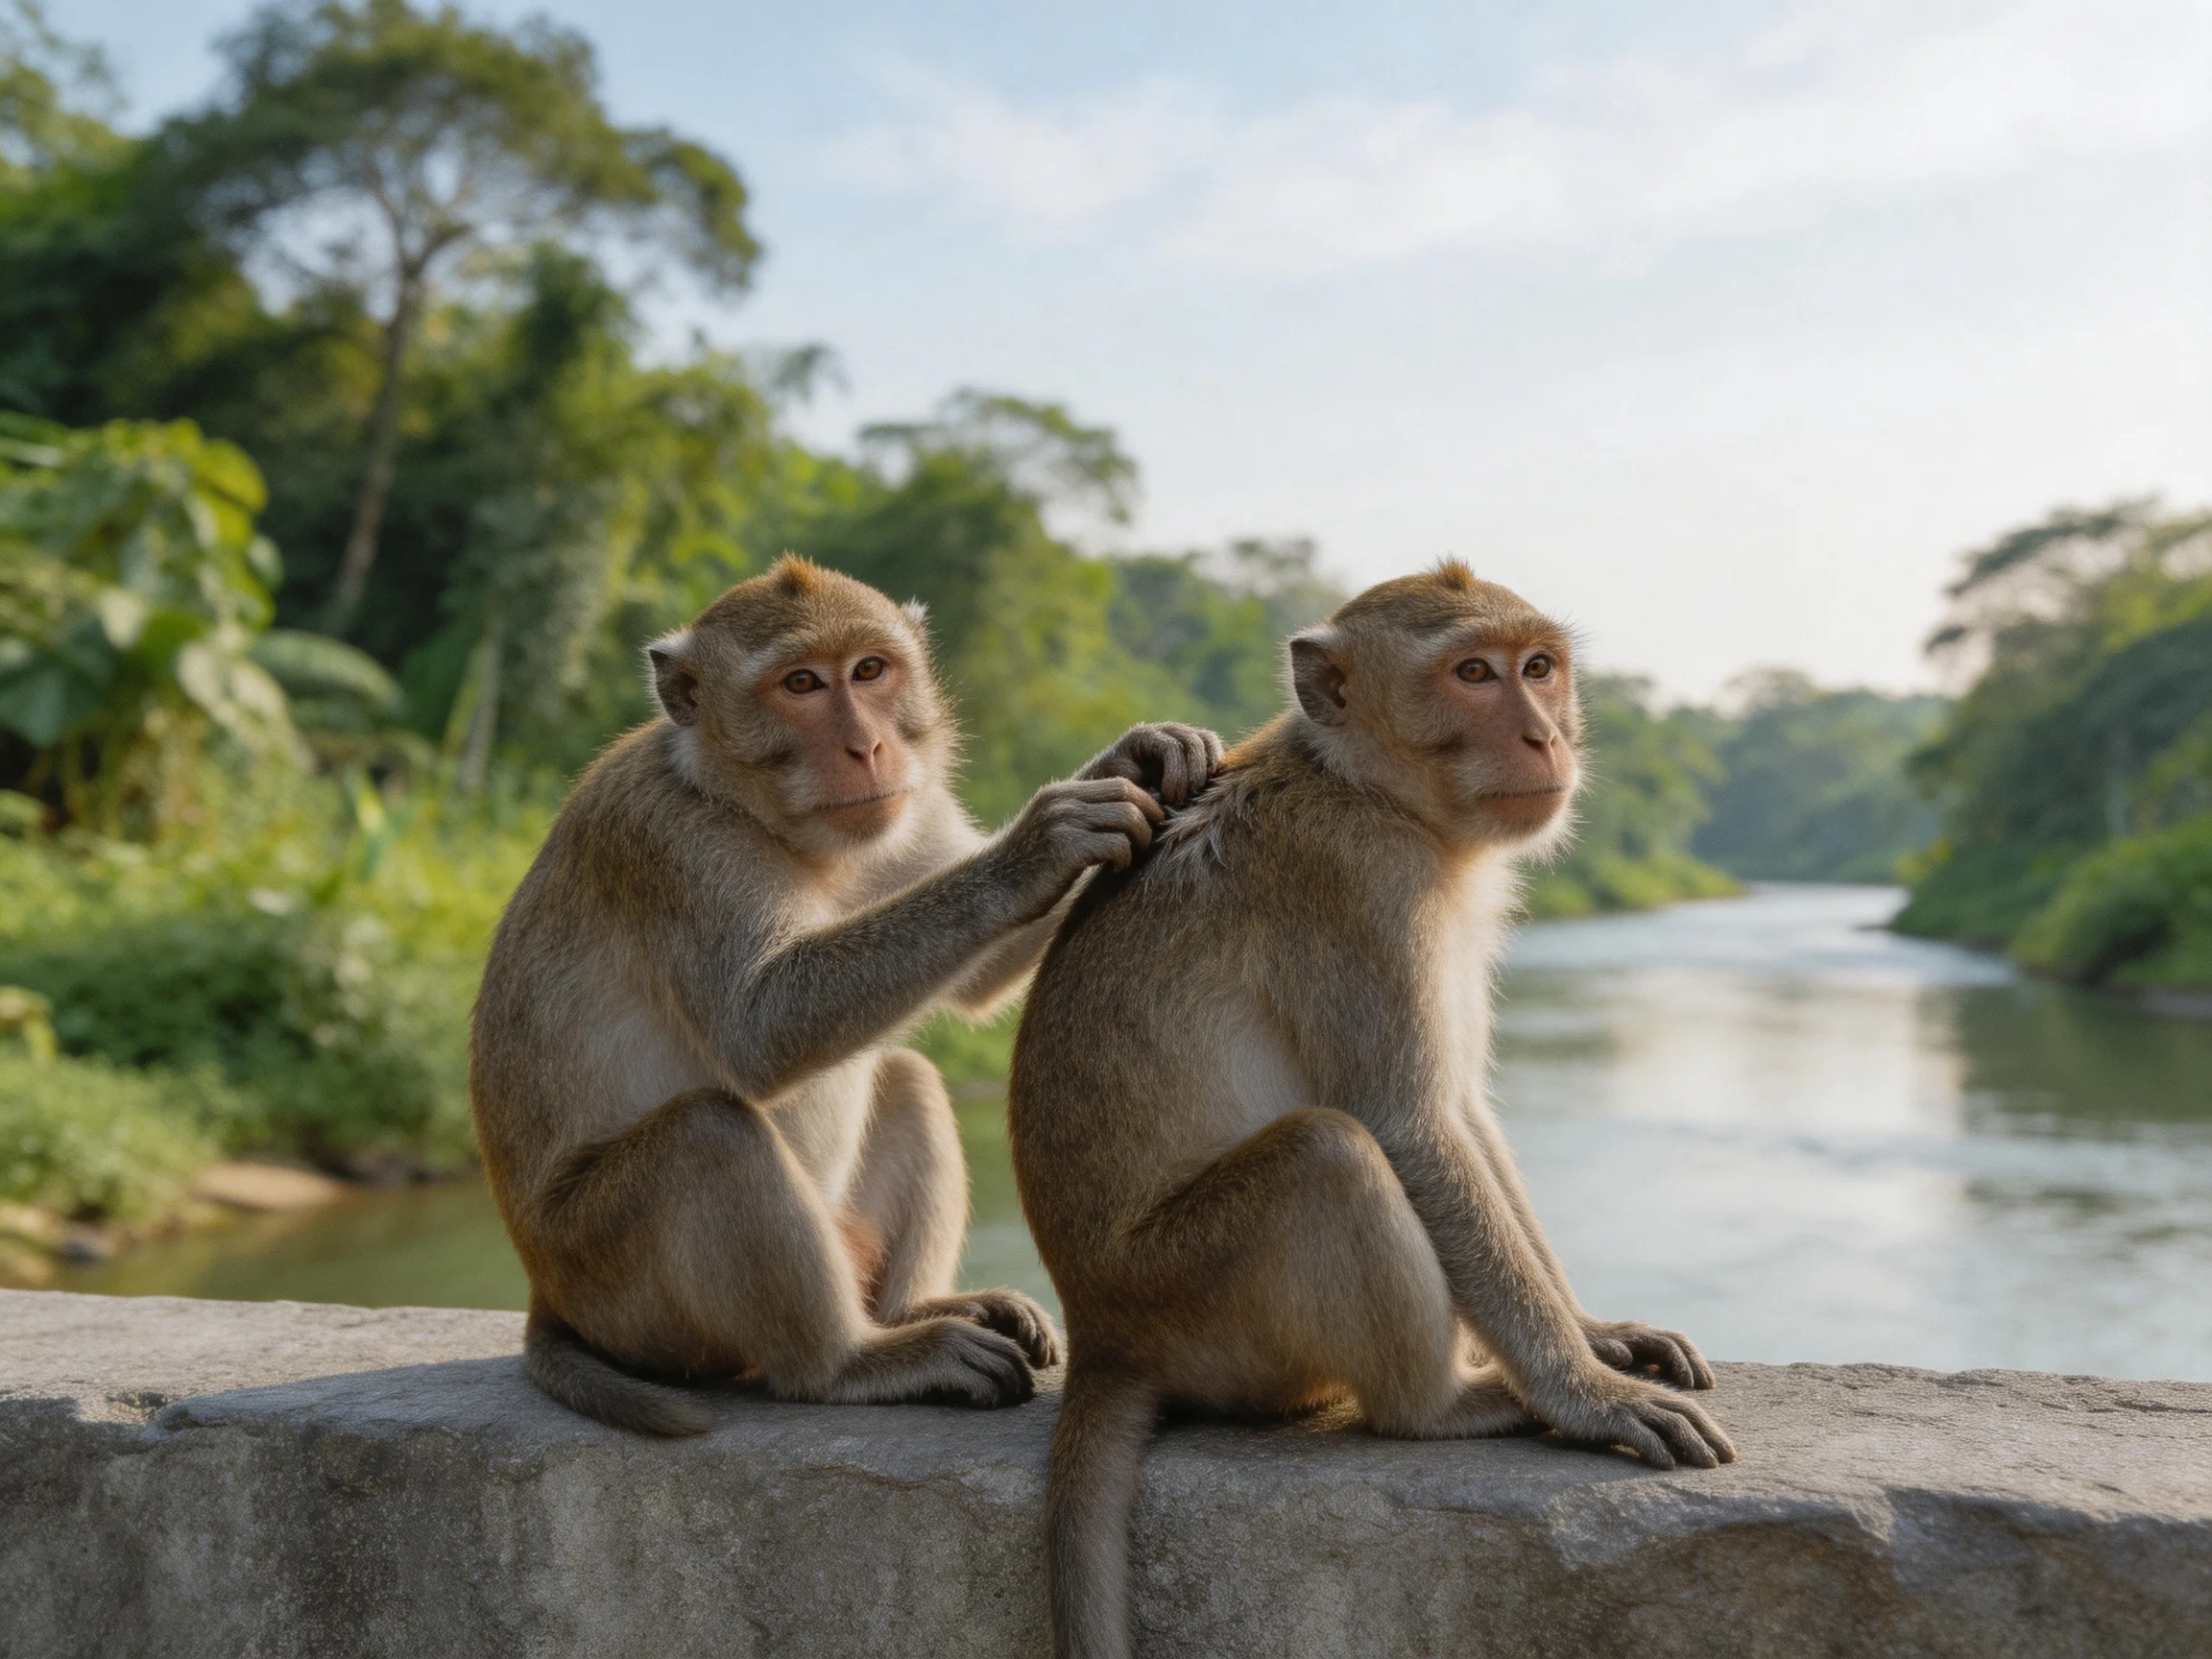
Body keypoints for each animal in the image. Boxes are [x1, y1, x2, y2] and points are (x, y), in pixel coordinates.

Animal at [470, 554, 1224, 1436]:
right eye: (800, 683)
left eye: (869, 671)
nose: (867, 746)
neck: (751, 809)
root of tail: (548, 1295)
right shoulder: (671, 843)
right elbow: (760, 1030)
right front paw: (1040, 844)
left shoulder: (908, 808)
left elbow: (977, 980)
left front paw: (1136, 756)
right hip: (613, 1286)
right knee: (707, 1136)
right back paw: (852, 1363)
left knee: (908, 1077)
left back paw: (915, 1311)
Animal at [1007, 561, 1735, 1659]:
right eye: (1473, 674)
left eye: (1538, 668)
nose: (1544, 736)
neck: (1366, 786)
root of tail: (1101, 1332)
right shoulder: (1360, 881)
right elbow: (1410, 1127)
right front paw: (1588, 1394)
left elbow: (1464, 1114)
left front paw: (1596, 1334)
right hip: (1193, 1303)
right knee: (1329, 1153)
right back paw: (1437, 1406)